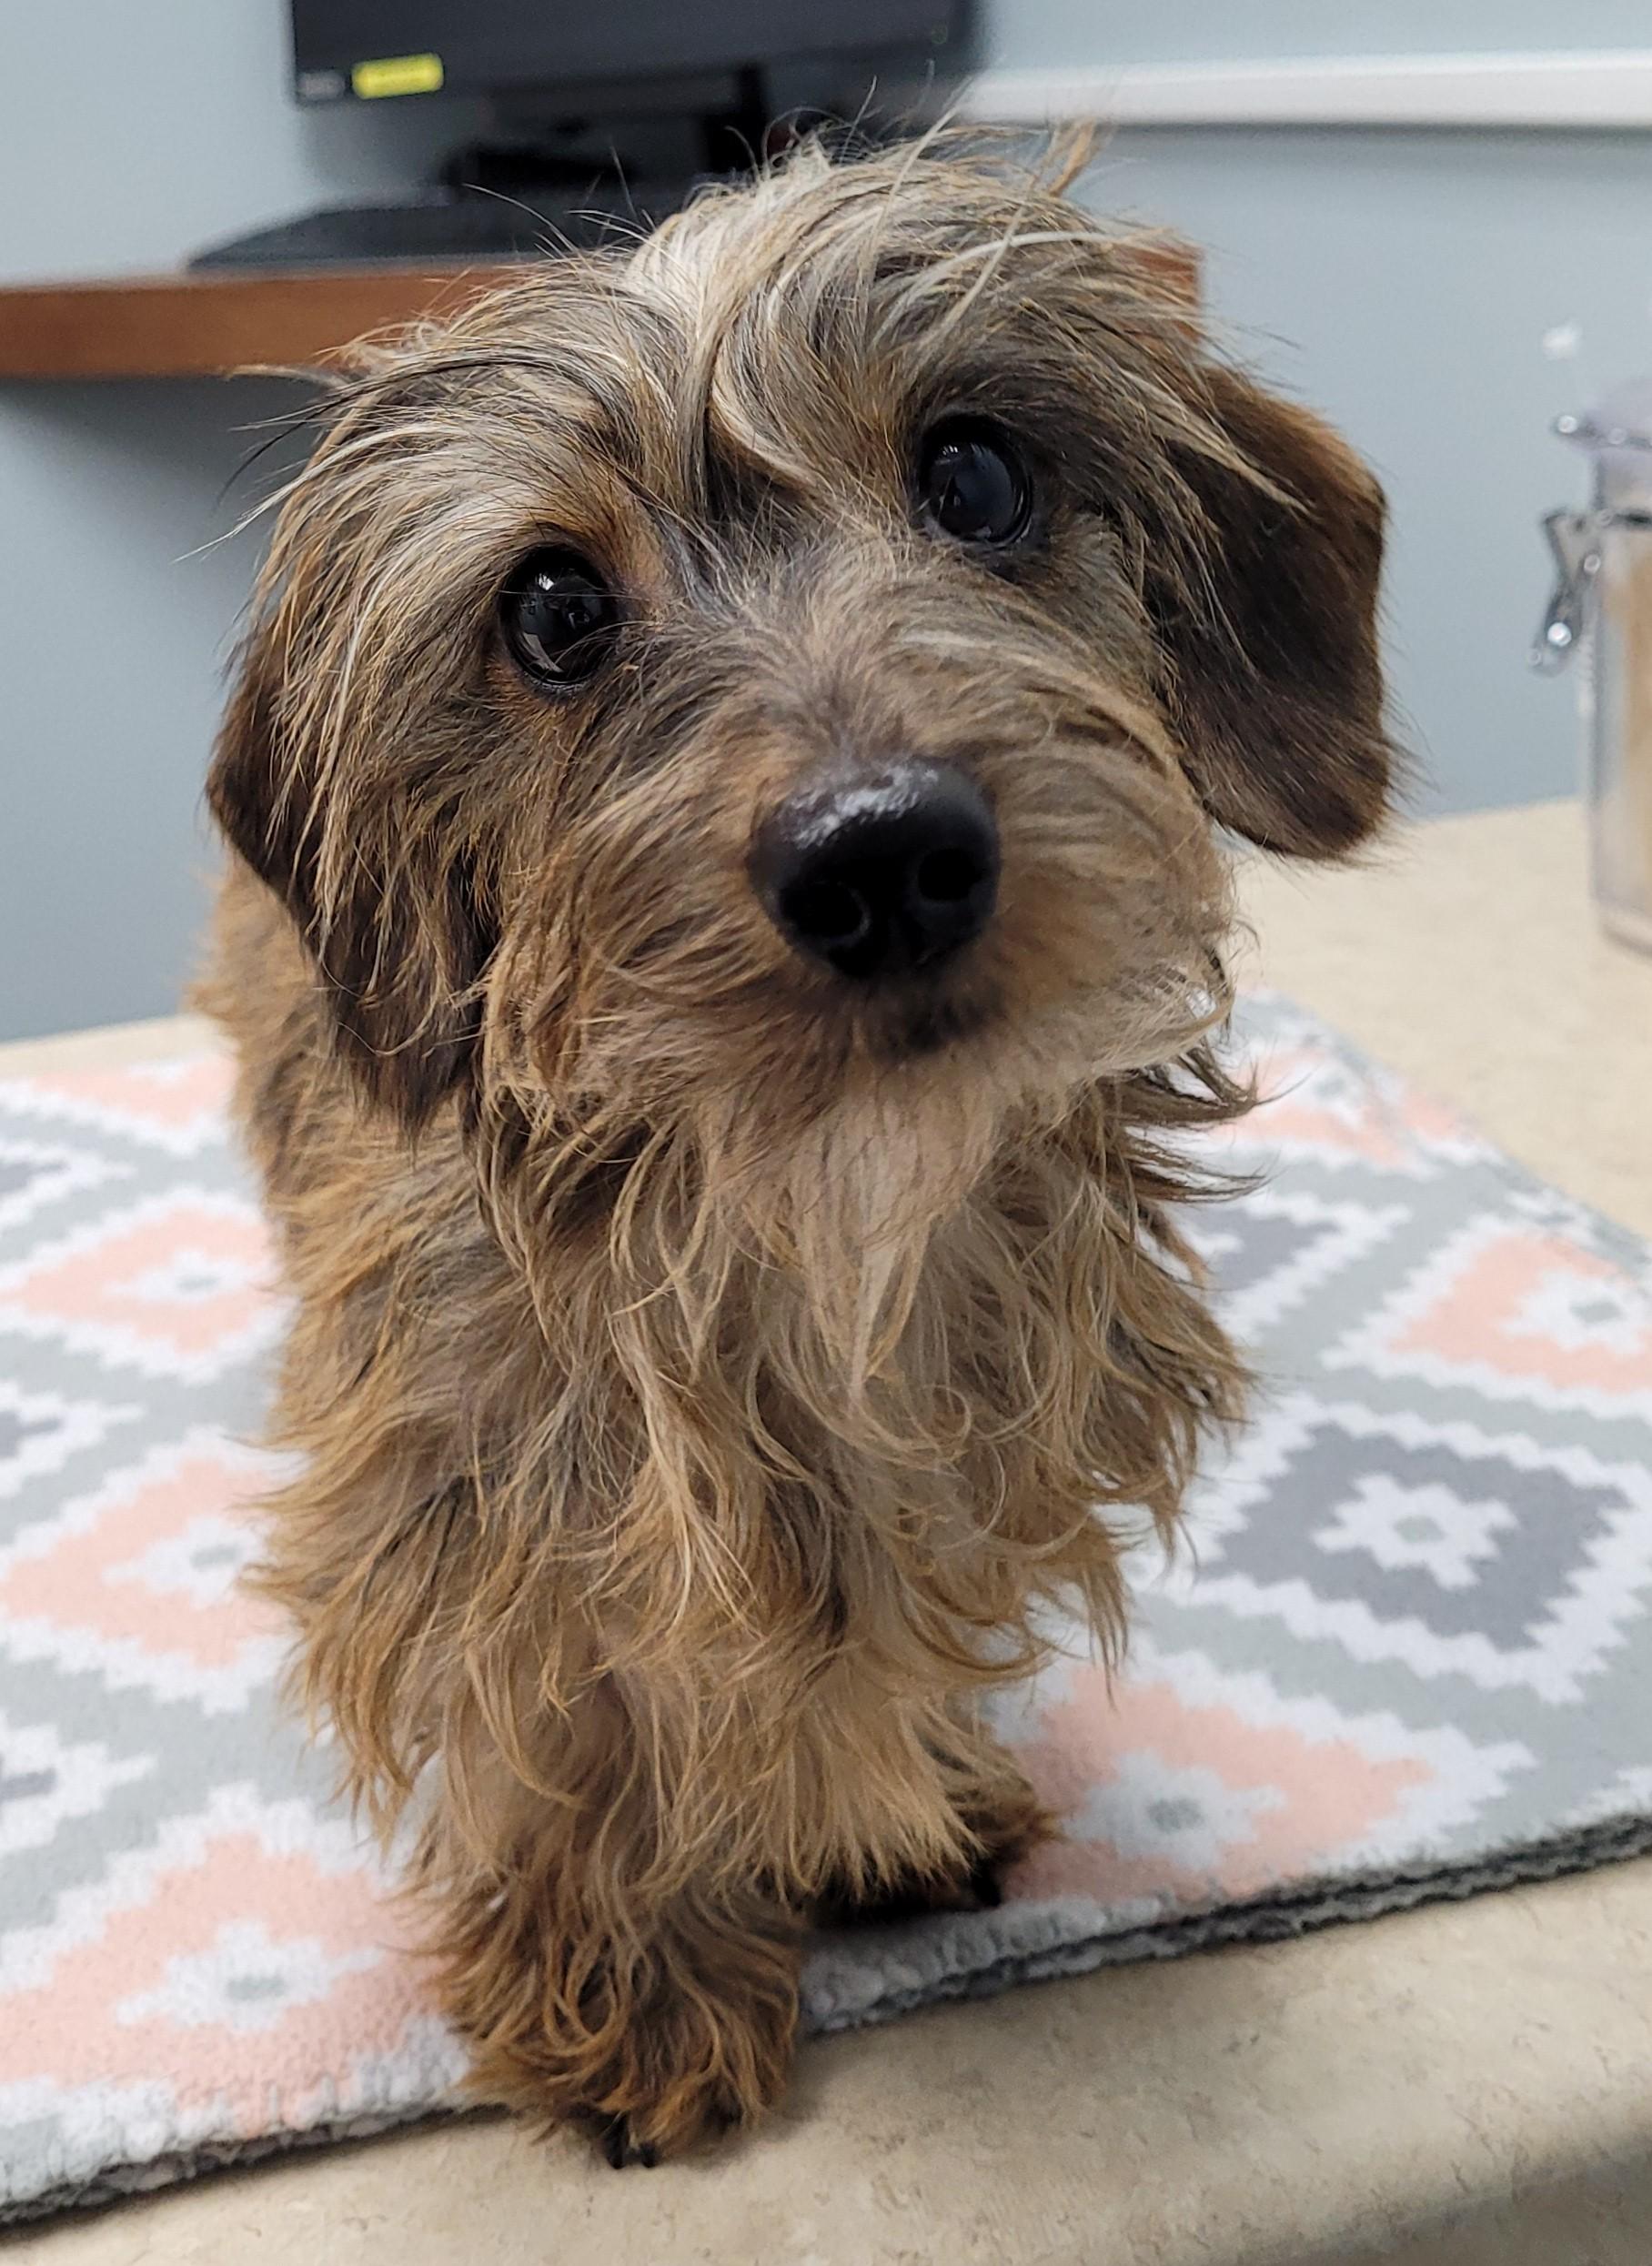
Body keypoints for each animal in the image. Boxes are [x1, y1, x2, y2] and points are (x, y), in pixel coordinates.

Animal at [200, 135, 1395, 2165]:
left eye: (976, 472)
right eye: (552, 610)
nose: (879, 851)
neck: (820, 1221)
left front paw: (889, 1802)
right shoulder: (472, 1505)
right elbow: (565, 1728)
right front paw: (624, 1985)